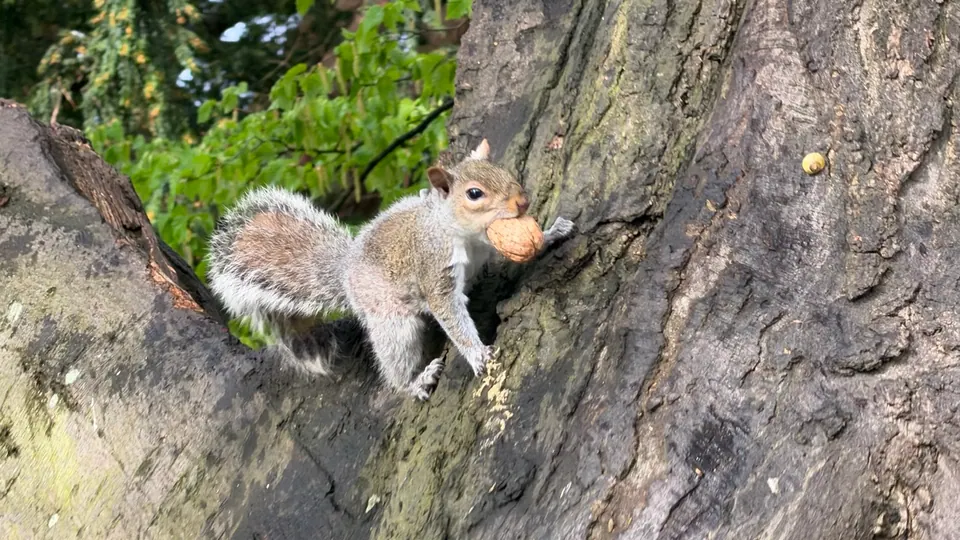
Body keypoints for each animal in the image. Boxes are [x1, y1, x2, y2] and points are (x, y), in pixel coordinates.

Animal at [206, 139, 575, 400]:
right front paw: (477, 354)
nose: (522, 202)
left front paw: (552, 233)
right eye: (474, 193)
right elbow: (451, 317)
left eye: (506, 172)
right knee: (395, 367)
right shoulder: (433, 271)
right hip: (393, 324)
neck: (457, 231)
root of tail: (346, 273)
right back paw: (414, 383)